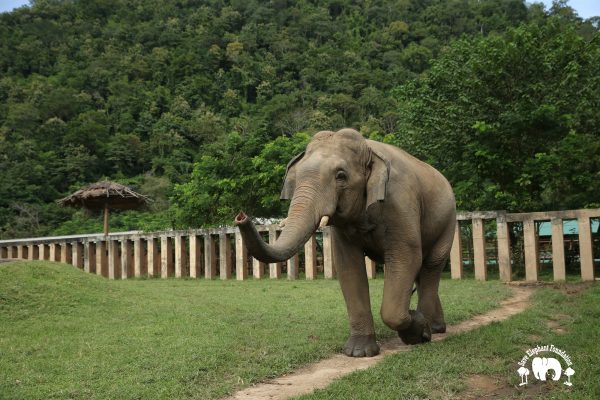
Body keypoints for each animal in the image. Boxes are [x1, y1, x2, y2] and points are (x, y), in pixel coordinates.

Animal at [234, 130, 454, 358]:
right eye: (296, 178)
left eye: (341, 176)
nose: (240, 216)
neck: (368, 150)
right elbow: (348, 265)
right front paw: (358, 352)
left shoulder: (399, 202)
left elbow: (406, 256)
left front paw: (417, 332)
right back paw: (436, 327)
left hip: (448, 221)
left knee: (431, 265)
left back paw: (429, 330)